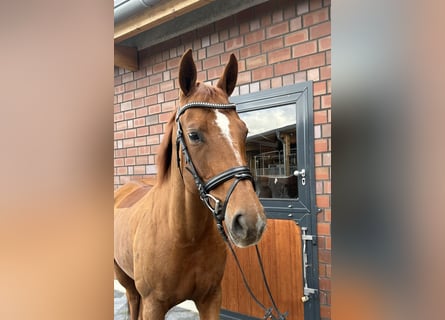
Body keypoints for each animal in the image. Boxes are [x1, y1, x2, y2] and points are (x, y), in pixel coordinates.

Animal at [115, 48, 268, 318]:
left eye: (245, 131)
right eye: (194, 135)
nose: (251, 222)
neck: (184, 235)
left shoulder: (211, 298)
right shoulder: (154, 305)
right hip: (124, 278)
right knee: (133, 301)